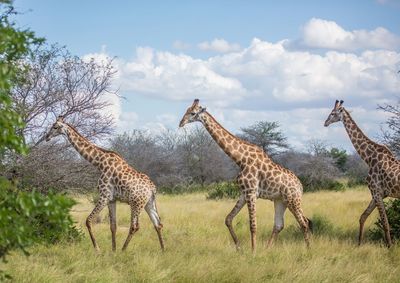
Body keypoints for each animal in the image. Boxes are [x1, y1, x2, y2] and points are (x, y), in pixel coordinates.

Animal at [46, 116, 165, 253]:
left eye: (55, 127)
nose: (47, 137)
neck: (100, 163)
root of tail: (152, 188)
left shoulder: (104, 196)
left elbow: (88, 220)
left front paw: (97, 249)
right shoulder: (112, 199)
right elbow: (113, 226)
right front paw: (113, 250)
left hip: (136, 203)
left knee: (135, 226)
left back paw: (123, 250)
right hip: (148, 203)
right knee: (158, 224)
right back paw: (163, 249)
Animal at [179, 99, 312, 251]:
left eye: (193, 113)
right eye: (187, 110)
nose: (181, 123)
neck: (240, 160)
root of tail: (300, 186)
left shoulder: (251, 192)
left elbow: (253, 225)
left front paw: (253, 251)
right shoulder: (244, 192)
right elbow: (228, 219)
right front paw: (239, 247)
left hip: (293, 199)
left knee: (304, 222)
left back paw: (308, 249)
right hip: (280, 200)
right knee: (279, 225)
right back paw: (267, 249)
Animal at [324, 100, 400, 248]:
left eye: (333, 113)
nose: (325, 122)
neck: (369, 158)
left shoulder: (376, 192)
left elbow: (385, 223)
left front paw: (389, 247)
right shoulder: (378, 193)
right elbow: (363, 216)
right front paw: (359, 243)